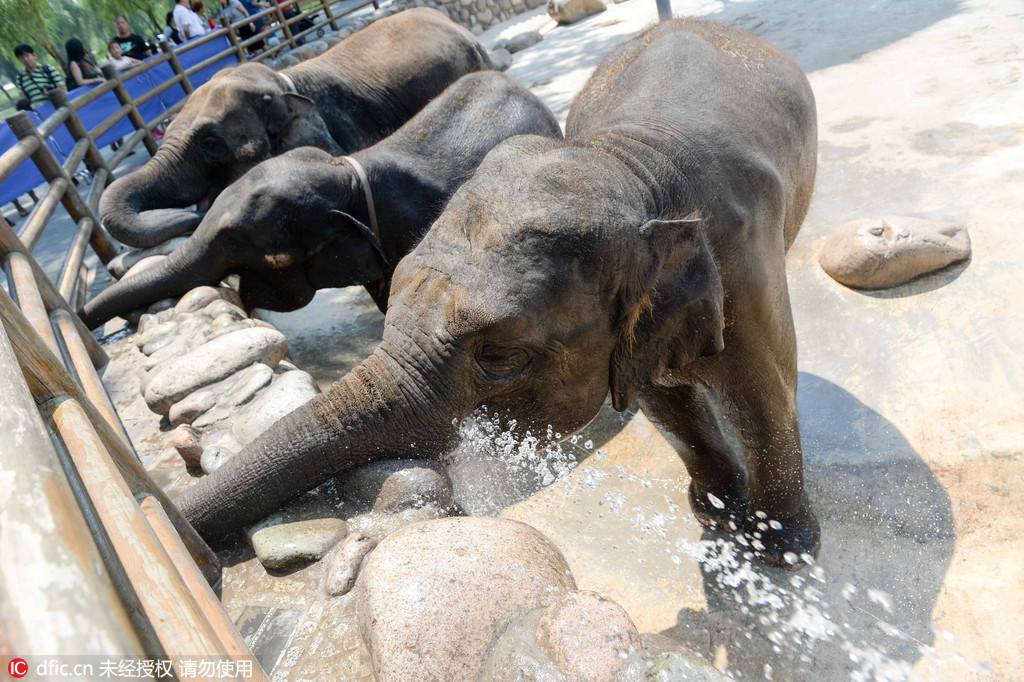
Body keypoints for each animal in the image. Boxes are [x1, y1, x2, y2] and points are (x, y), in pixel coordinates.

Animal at [174, 18, 815, 565]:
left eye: (501, 358)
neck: (624, 164)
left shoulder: (741, 267)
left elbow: (765, 392)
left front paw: (782, 555)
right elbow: (662, 399)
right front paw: (718, 519)